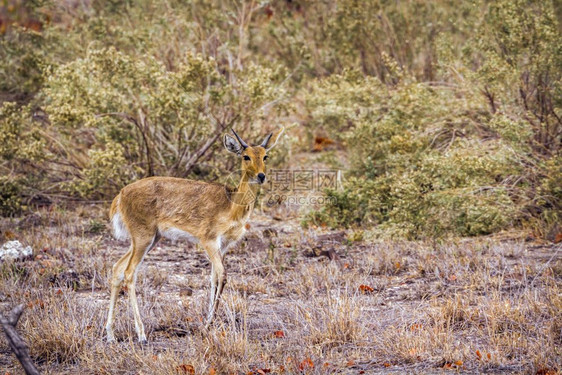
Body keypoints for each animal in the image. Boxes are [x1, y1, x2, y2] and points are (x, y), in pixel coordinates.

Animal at [104, 127, 284, 344]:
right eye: (246, 156)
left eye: (265, 155)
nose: (261, 176)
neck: (231, 204)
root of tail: (121, 194)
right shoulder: (209, 241)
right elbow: (223, 276)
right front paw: (207, 325)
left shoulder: (223, 245)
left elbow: (214, 278)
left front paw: (208, 323)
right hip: (143, 238)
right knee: (130, 273)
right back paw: (141, 334)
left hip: (149, 239)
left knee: (117, 268)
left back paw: (110, 334)